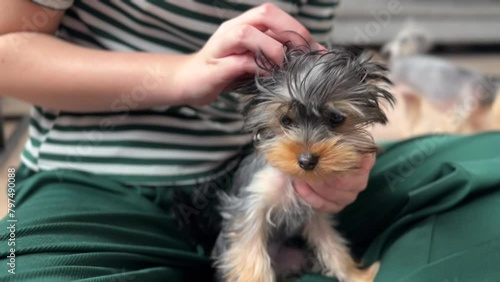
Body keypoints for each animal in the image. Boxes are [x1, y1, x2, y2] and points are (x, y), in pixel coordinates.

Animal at [213, 44, 396, 282]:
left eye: (336, 118)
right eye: (285, 120)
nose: (306, 160)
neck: (293, 179)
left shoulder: (315, 214)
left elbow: (331, 244)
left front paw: (357, 275)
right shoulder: (251, 205)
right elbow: (251, 254)